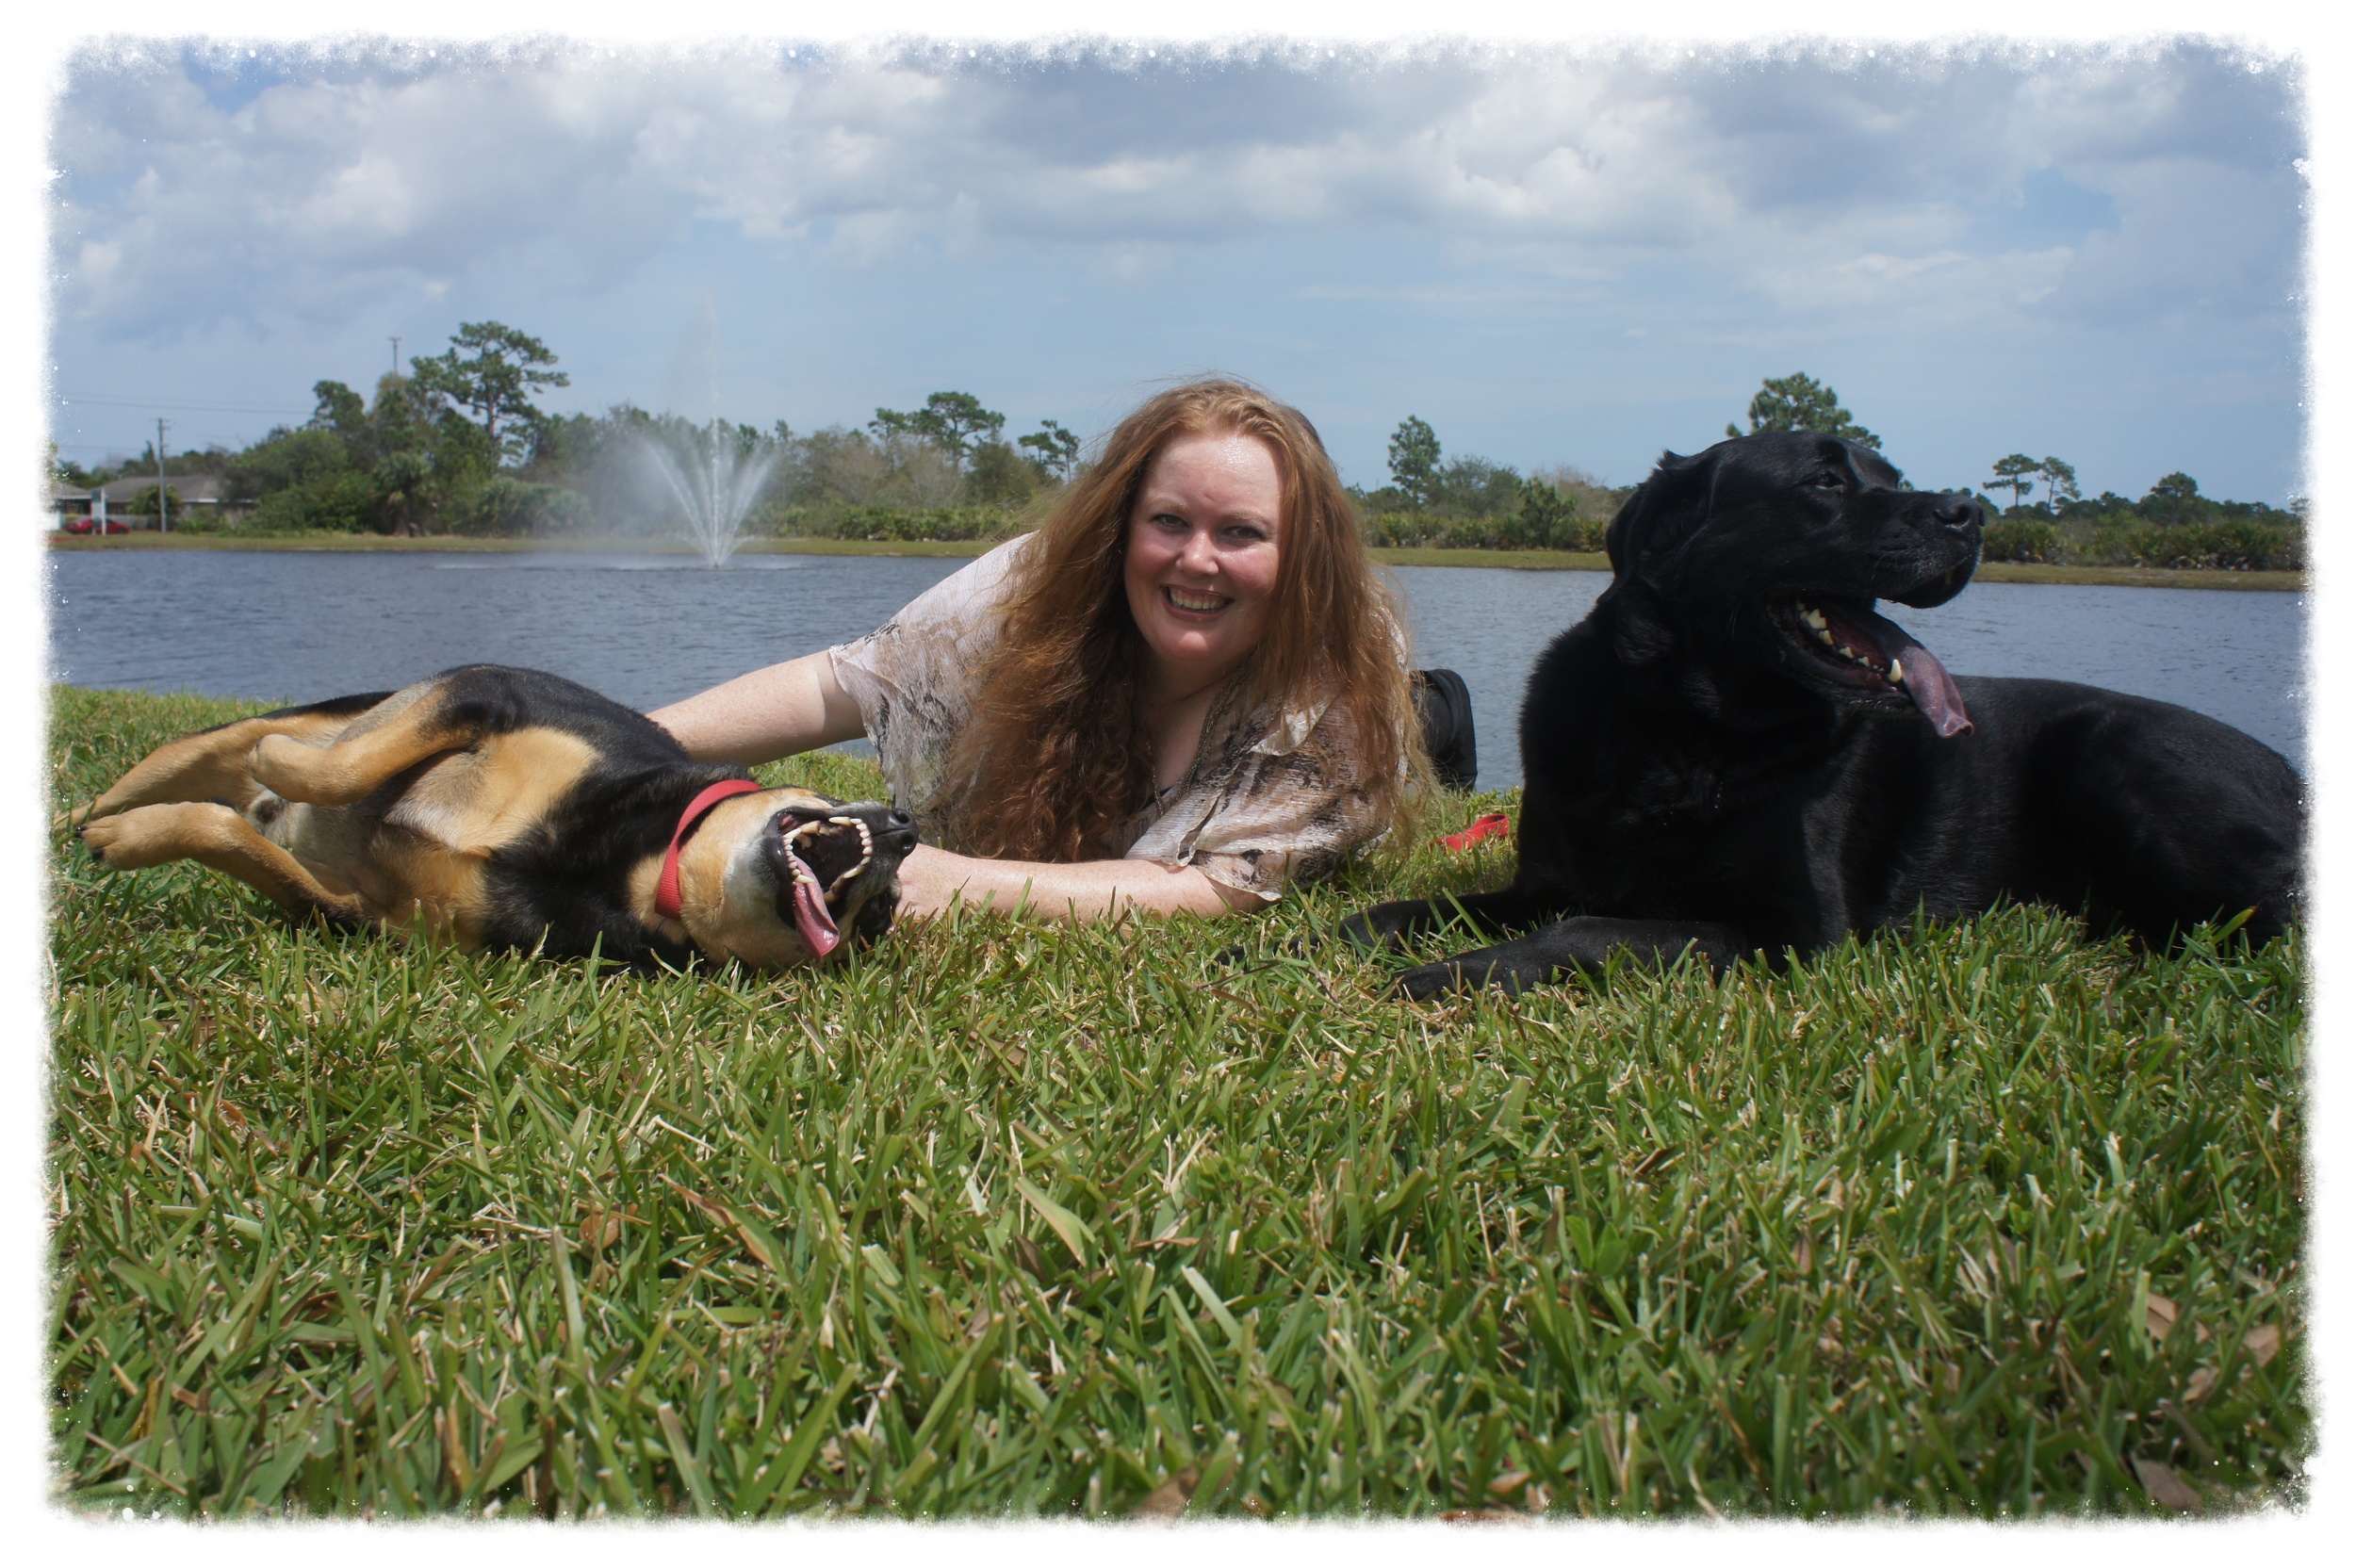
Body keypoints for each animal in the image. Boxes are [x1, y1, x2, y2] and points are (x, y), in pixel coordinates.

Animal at [69, 659, 914, 965]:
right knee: (195, 752)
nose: (908, 827)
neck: (643, 872)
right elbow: (340, 769)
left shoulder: (360, 915)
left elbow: (229, 836)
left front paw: (128, 842)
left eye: (879, 920)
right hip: (242, 732)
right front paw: (282, 765)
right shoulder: (488, 690)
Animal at [1348, 423, 2299, 1003]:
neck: (1683, 733)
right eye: (1825, 481)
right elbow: (1398, 912)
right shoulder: (1540, 880)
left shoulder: (1794, 934)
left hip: (2129, 760)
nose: (1969, 513)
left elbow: (1587, 931)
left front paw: (1453, 973)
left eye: (1894, 480)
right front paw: (1348, 936)